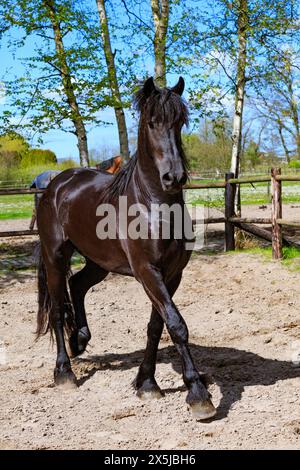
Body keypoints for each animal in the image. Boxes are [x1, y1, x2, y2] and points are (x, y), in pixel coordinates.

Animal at [36, 77, 217, 418]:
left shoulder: (172, 274)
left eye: (180, 122)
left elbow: (156, 326)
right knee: (57, 309)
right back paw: (64, 373)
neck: (154, 206)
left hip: (98, 262)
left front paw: (147, 384)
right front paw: (198, 394)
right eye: (152, 122)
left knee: (77, 285)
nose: (174, 176)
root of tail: (56, 184)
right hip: (55, 256)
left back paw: (80, 339)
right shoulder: (147, 271)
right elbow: (177, 325)